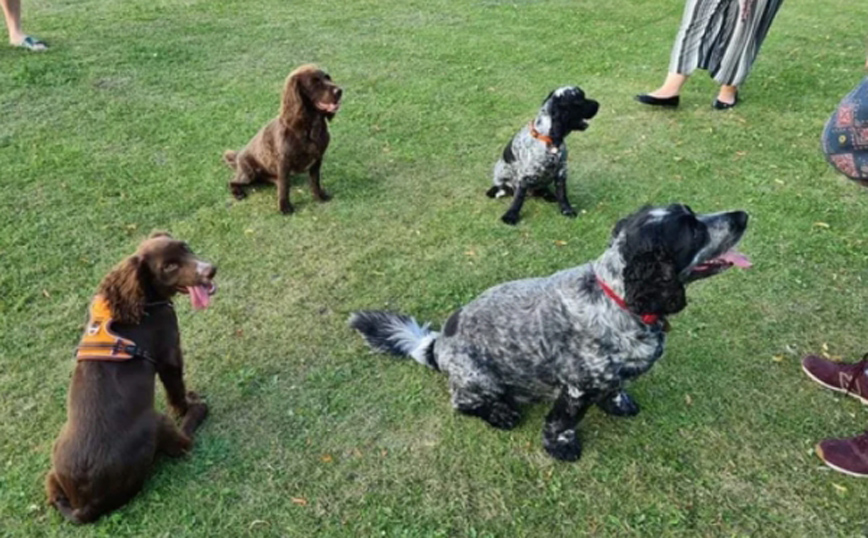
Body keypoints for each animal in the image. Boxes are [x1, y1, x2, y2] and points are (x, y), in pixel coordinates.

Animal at [45, 232, 219, 520]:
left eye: (185, 247)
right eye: (168, 267)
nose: (210, 270)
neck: (140, 302)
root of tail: (85, 504)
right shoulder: (169, 354)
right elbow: (176, 392)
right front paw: (188, 404)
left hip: (55, 455)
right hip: (154, 421)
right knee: (183, 444)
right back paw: (198, 412)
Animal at [224, 63, 342, 213]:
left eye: (327, 77)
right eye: (315, 82)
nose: (340, 91)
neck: (309, 128)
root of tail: (238, 155)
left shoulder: (317, 158)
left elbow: (315, 181)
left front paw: (319, 196)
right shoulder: (284, 162)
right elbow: (285, 187)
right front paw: (284, 206)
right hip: (249, 173)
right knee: (232, 182)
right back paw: (238, 193)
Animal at [350, 205, 748, 460]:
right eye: (693, 229)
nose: (742, 215)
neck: (617, 298)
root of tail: (436, 346)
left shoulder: (611, 375)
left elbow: (616, 388)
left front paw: (619, 404)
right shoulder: (575, 388)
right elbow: (562, 423)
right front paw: (561, 446)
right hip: (479, 379)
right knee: (463, 404)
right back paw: (500, 413)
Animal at [484, 86, 600, 224]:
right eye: (580, 99)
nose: (598, 104)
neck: (549, 140)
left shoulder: (561, 172)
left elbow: (562, 194)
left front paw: (567, 210)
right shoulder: (524, 176)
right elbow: (518, 198)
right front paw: (511, 215)